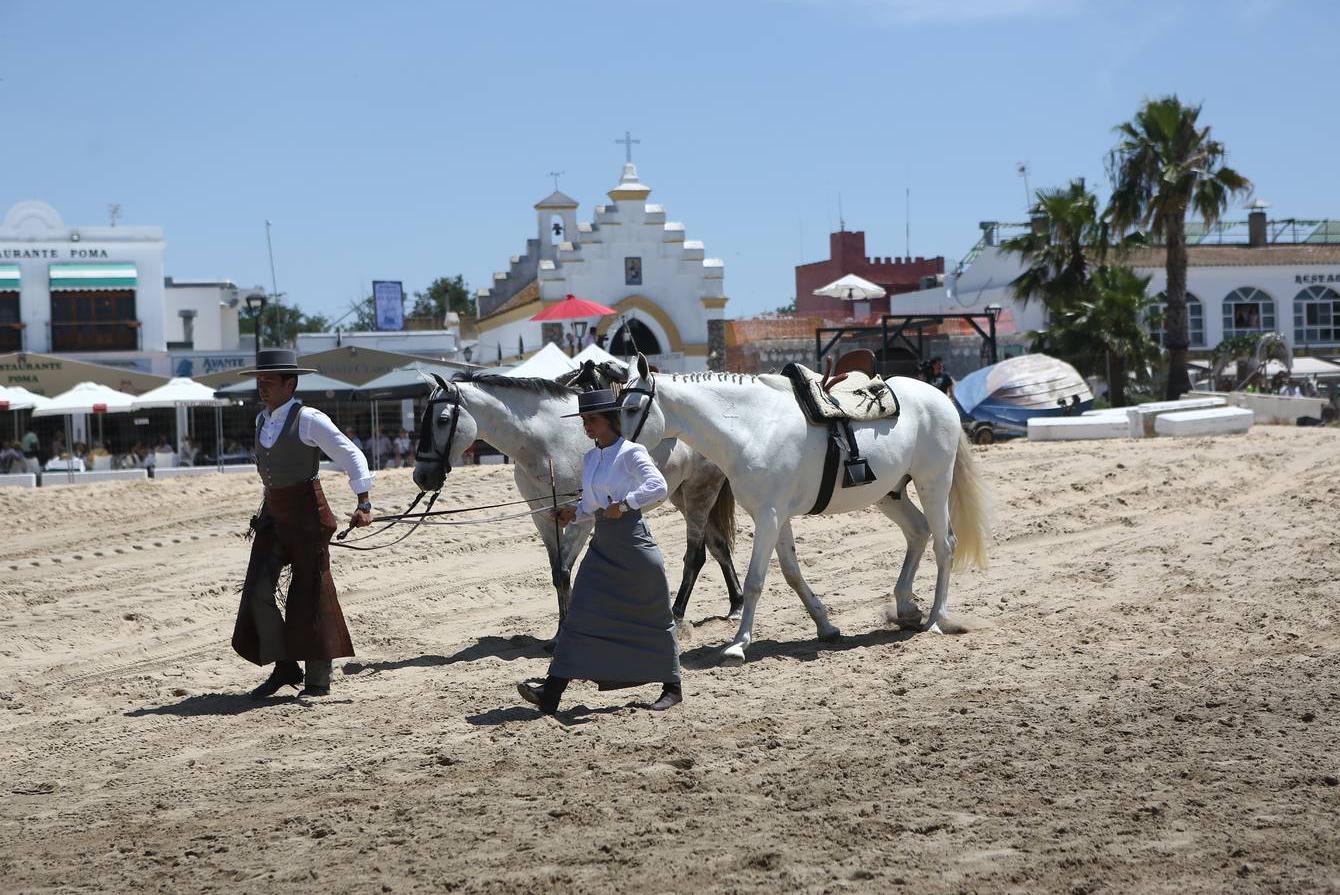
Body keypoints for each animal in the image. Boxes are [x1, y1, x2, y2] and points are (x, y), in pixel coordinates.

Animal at [410, 375, 745, 632]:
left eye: (442, 419)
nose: (422, 476)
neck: (547, 442)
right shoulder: (544, 518)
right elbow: (557, 574)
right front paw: (560, 630)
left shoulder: (582, 518)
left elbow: (564, 571)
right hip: (682, 495)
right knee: (718, 546)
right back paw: (736, 605)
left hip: (700, 492)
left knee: (696, 556)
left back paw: (678, 616)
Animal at [616, 353, 996, 664]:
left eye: (632, 409)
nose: (616, 450)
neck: (753, 427)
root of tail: (940, 398)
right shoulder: (776, 517)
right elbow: (792, 573)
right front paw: (826, 626)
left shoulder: (769, 516)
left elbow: (755, 580)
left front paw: (738, 644)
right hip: (891, 493)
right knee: (918, 531)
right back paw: (906, 608)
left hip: (933, 484)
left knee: (944, 544)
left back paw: (936, 620)